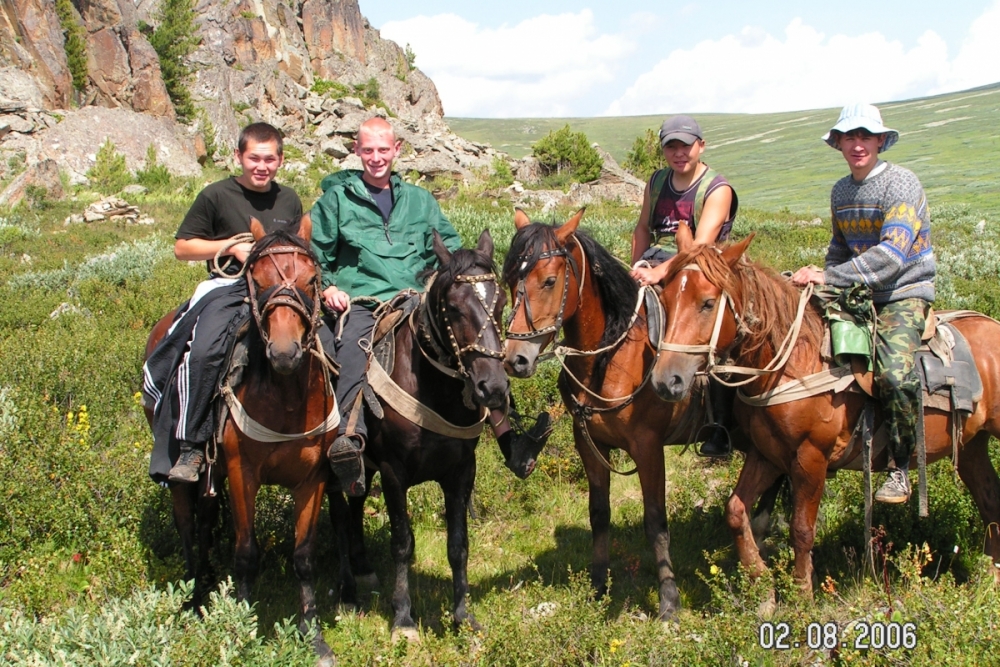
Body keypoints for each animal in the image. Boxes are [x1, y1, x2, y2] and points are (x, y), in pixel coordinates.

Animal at [142, 218, 340, 664]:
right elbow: (247, 552)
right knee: (187, 524)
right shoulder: (240, 472)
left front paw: (313, 634)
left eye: (311, 279)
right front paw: (239, 624)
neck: (286, 400)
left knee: (205, 519)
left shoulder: (313, 479)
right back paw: (194, 596)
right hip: (182, 468)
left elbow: (303, 556)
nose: (283, 353)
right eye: (257, 279)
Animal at [352, 230, 508, 640]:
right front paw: (403, 618)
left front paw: (462, 615)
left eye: (501, 302)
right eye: (453, 308)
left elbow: (458, 544)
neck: (432, 392)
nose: (493, 388)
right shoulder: (392, 473)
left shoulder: (461, 472)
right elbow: (403, 543)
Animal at [500, 210, 704, 620]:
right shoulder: (589, 444)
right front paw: (598, 587)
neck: (612, 356)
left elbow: (655, 521)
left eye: (549, 280)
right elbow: (598, 514)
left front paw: (669, 602)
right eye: (511, 279)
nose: (516, 359)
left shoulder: (648, 448)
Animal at [652, 232, 1000, 604]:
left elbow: (802, 529)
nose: (666, 381)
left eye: (707, 303)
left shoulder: (811, 456)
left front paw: (802, 594)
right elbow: (735, 511)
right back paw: (990, 577)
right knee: (990, 500)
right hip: (972, 446)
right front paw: (762, 582)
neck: (792, 363)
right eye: (666, 298)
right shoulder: (767, 453)